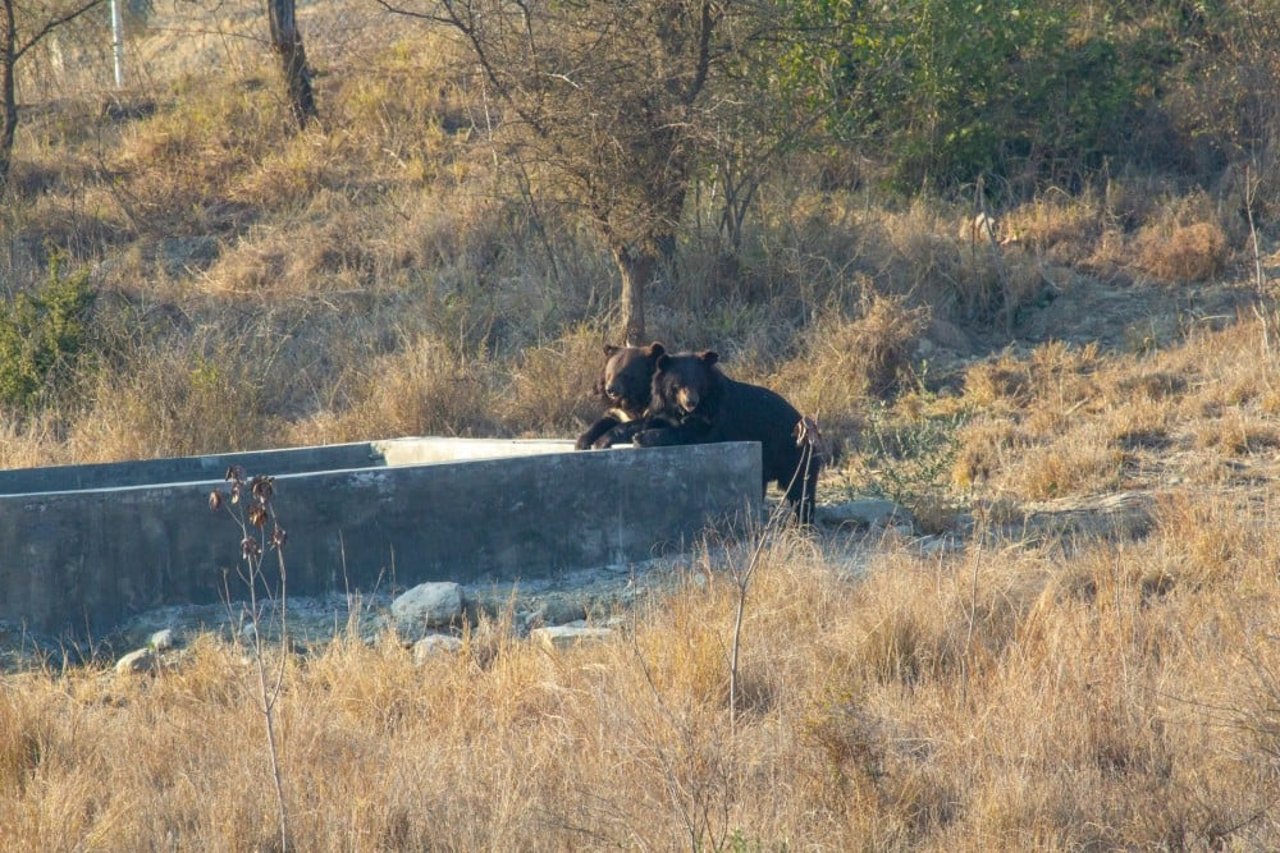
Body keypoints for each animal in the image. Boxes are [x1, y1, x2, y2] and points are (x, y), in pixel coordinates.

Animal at [632, 348, 819, 522]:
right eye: (676, 385)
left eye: (698, 383)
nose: (691, 402)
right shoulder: (665, 408)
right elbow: (654, 419)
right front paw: (633, 431)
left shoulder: (715, 415)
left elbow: (695, 433)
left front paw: (642, 437)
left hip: (792, 455)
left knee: (801, 491)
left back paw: (802, 522)